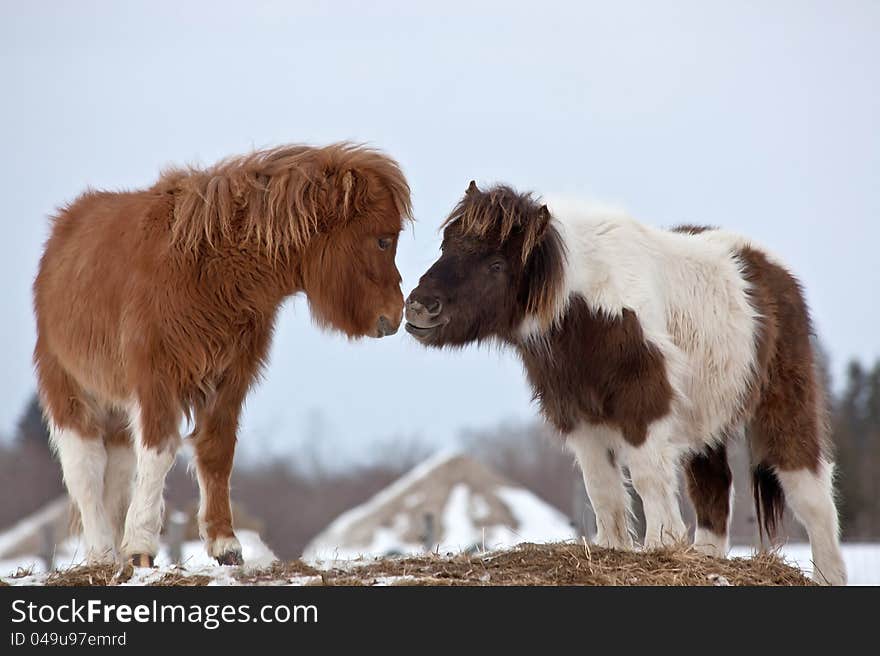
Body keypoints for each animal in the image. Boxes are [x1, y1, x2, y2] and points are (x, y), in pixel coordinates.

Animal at [34, 145, 412, 568]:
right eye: (383, 241)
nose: (395, 315)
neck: (207, 269)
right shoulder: (156, 380)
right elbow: (160, 450)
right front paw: (142, 547)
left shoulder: (229, 377)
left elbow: (217, 450)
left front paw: (224, 544)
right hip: (69, 389)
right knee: (84, 468)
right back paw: (102, 552)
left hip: (114, 404)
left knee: (115, 469)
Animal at [410, 182, 848, 588]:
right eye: (446, 245)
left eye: (497, 264)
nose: (419, 308)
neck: (588, 310)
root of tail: (771, 270)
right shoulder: (580, 419)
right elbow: (602, 487)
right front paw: (613, 547)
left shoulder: (644, 408)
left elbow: (646, 477)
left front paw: (662, 545)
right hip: (707, 423)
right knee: (714, 491)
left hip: (785, 405)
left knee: (812, 495)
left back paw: (827, 574)